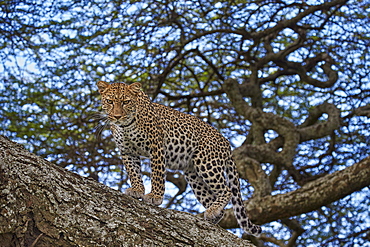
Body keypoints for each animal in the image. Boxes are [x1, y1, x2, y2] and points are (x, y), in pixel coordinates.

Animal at [96, 81, 264, 235]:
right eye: (109, 101)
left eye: (126, 102)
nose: (117, 116)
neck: (125, 126)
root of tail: (227, 143)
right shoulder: (127, 151)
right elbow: (133, 172)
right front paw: (137, 190)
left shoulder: (156, 146)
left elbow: (157, 175)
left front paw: (155, 197)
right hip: (193, 175)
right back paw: (212, 215)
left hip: (206, 162)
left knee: (227, 190)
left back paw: (213, 210)